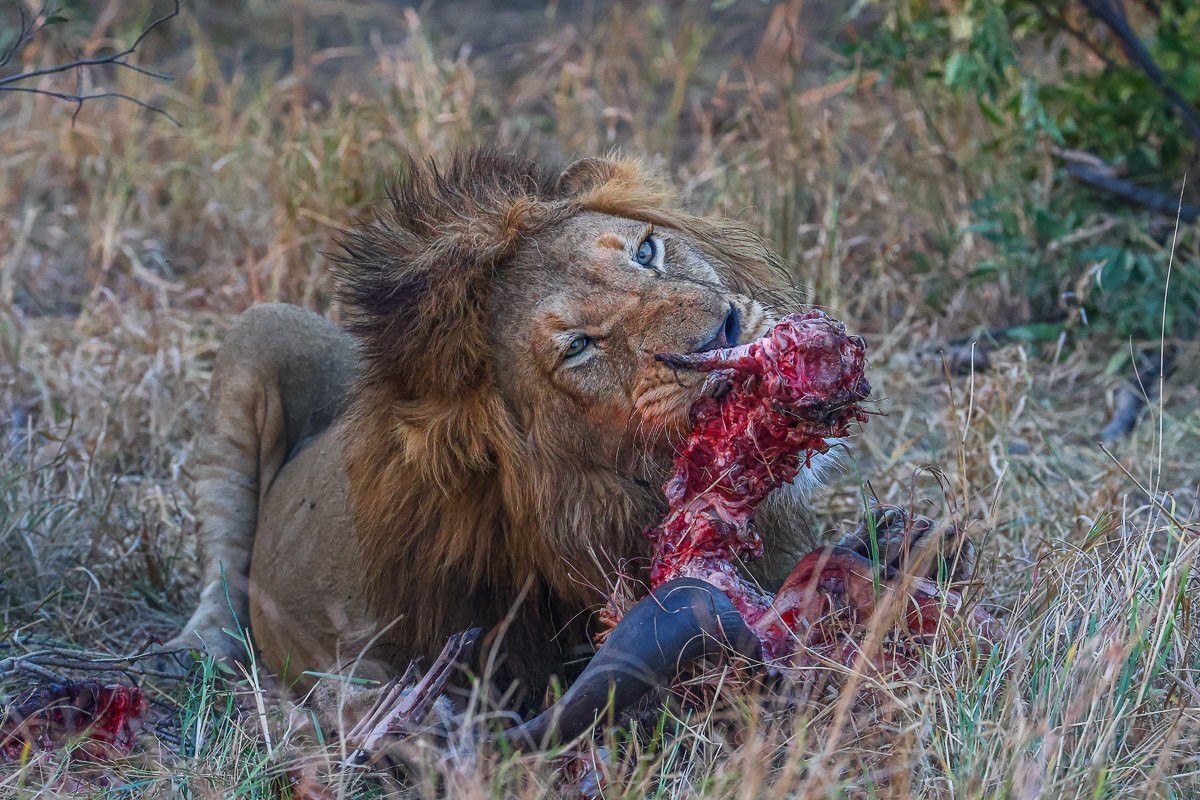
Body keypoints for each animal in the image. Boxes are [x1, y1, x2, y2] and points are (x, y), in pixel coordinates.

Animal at [166, 148, 966, 709]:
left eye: (647, 250)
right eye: (579, 346)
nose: (727, 332)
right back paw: (200, 653)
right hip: (257, 328)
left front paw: (901, 540)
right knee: (221, 561)